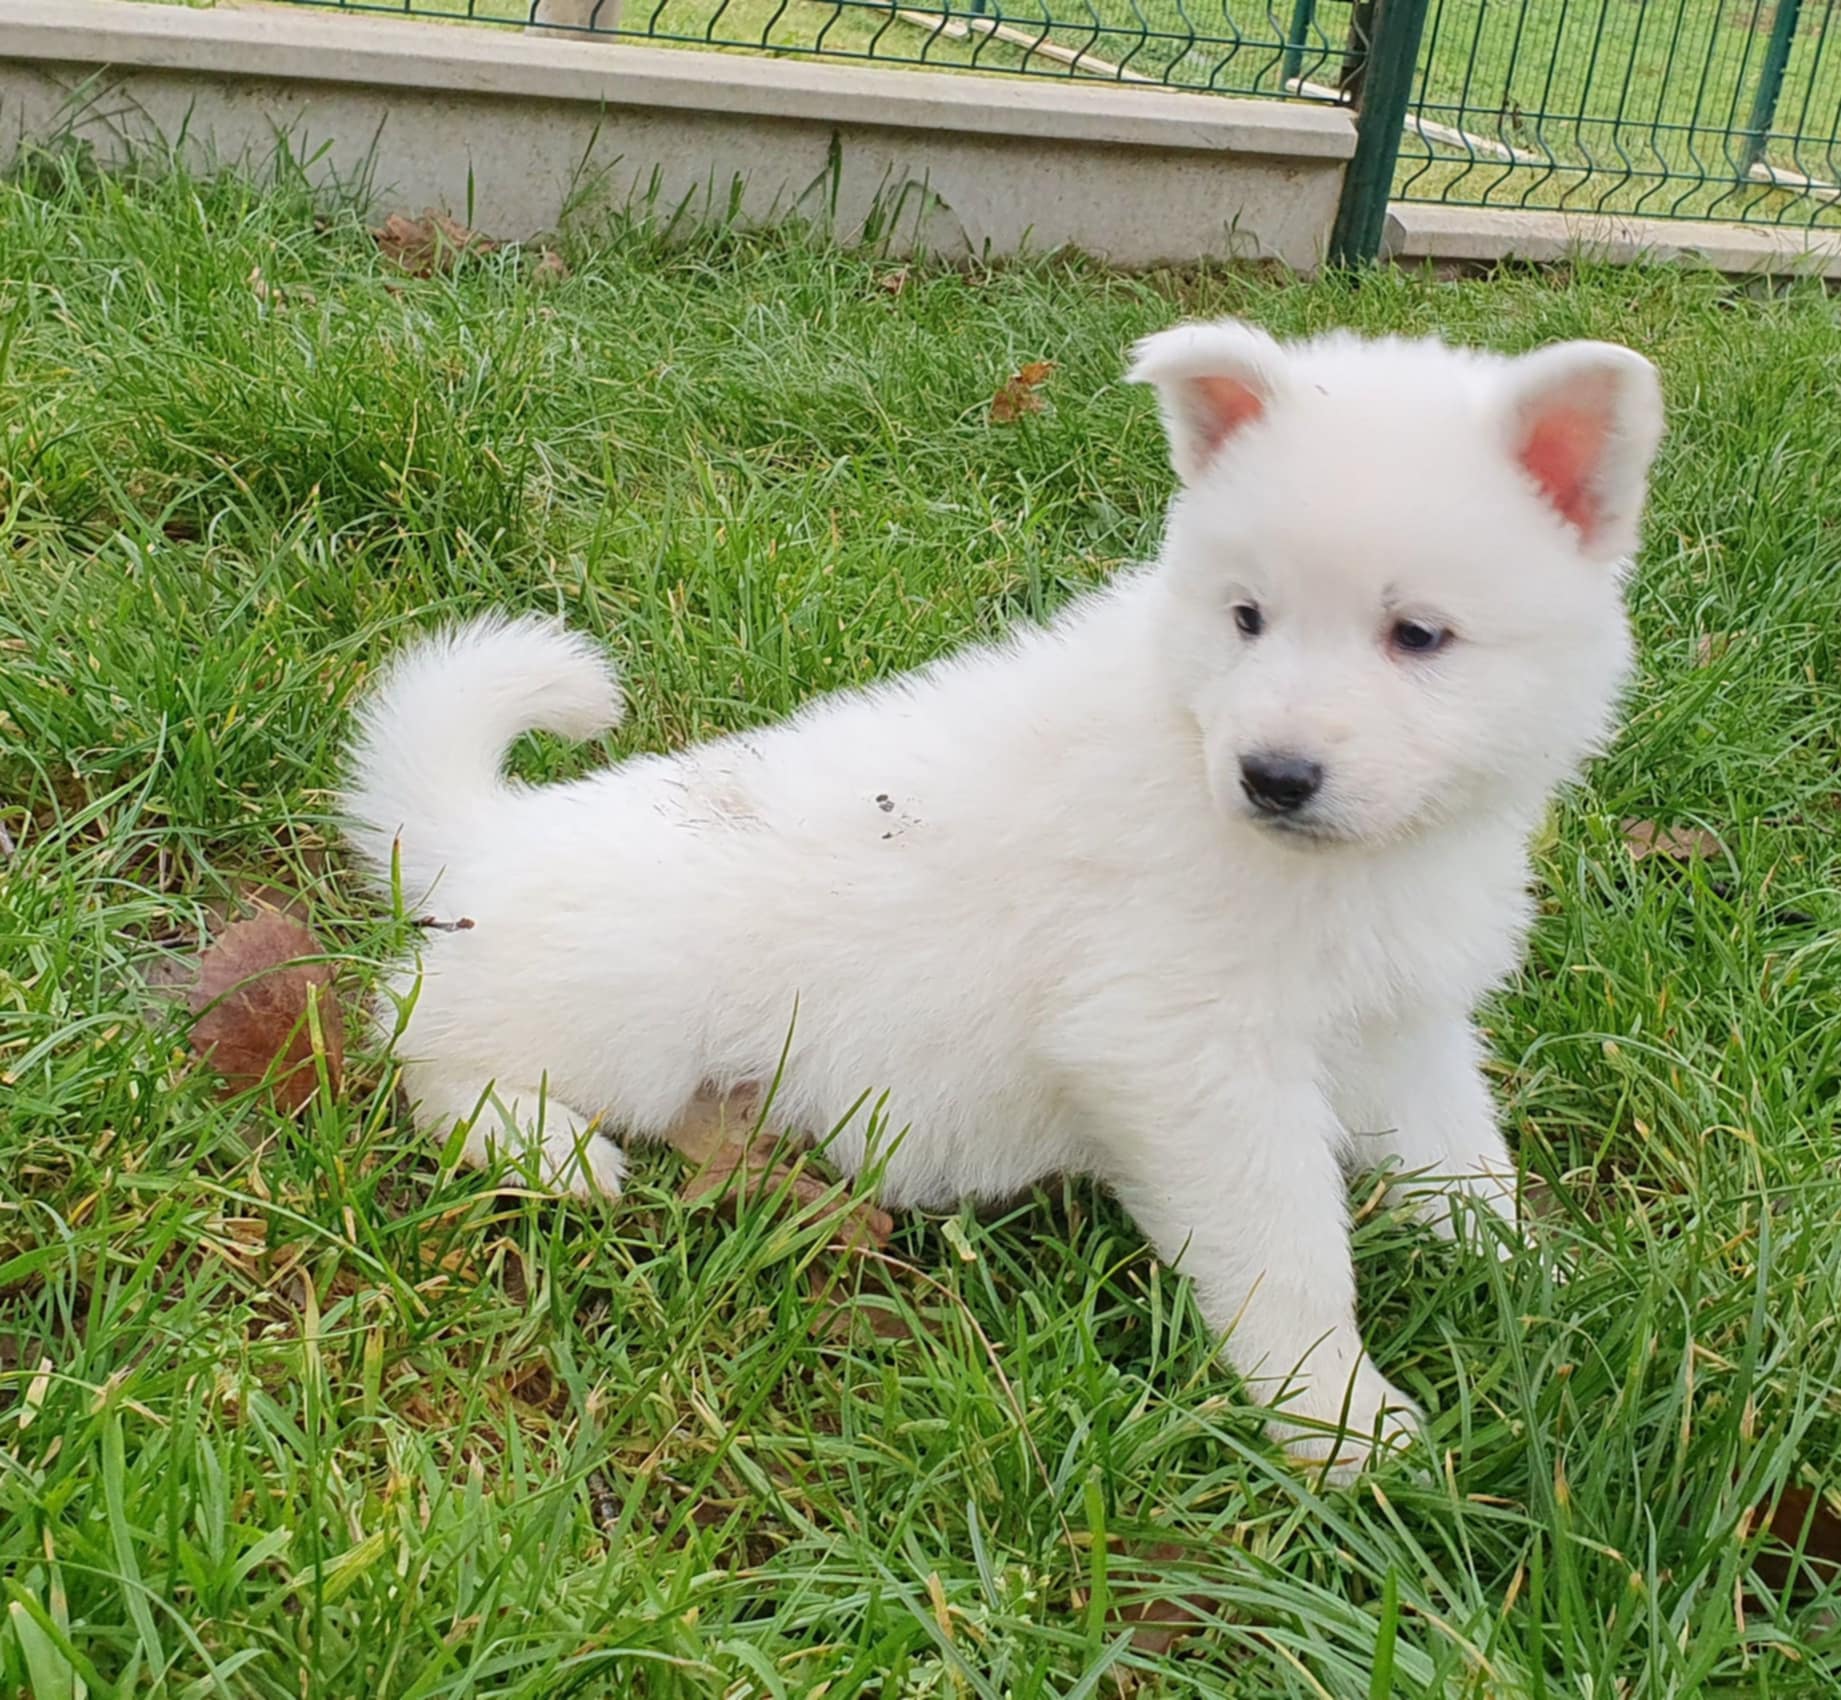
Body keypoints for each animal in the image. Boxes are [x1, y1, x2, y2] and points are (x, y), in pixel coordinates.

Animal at [346, 322, 1671, 1473]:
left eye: (1418, 635)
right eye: (1245, 615)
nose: (1272, 775)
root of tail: (490, 831)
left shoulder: (1403, 1023)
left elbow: (1463, 1162)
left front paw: (1545, 1278)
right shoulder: (1183, 1053)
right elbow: (1285, 1244)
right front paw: (1338, 1416)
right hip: (622, 1002)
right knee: (418, 1030)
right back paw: (538, 1141)